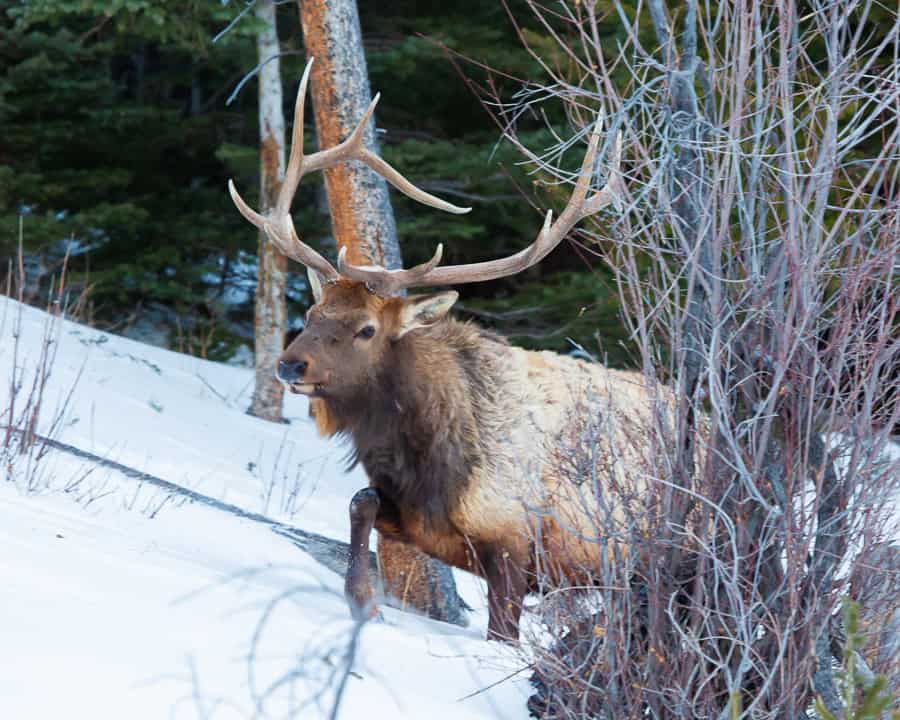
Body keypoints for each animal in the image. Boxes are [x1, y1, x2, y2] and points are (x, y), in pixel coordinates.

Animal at [229, 58, 665, 642]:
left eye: (367, 329)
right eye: (313, 314)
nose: (290, 364)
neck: (429, 456)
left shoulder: (516, 542)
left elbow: (503, 633)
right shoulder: (417, 517)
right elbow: (361, 501)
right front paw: (362, 600)